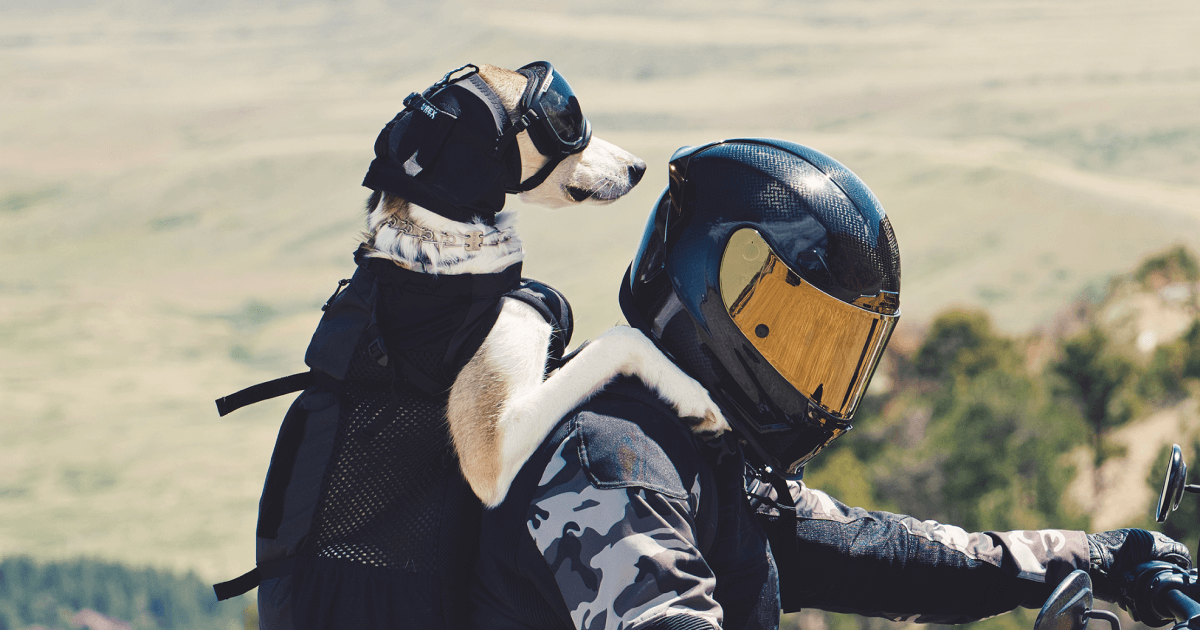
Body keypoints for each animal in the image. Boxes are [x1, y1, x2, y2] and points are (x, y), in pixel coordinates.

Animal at [357, 62, 729, 506]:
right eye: (566, 121)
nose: (638, 167)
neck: (441, 242)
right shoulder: (490, 454)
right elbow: (621, 338)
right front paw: (695, 399)